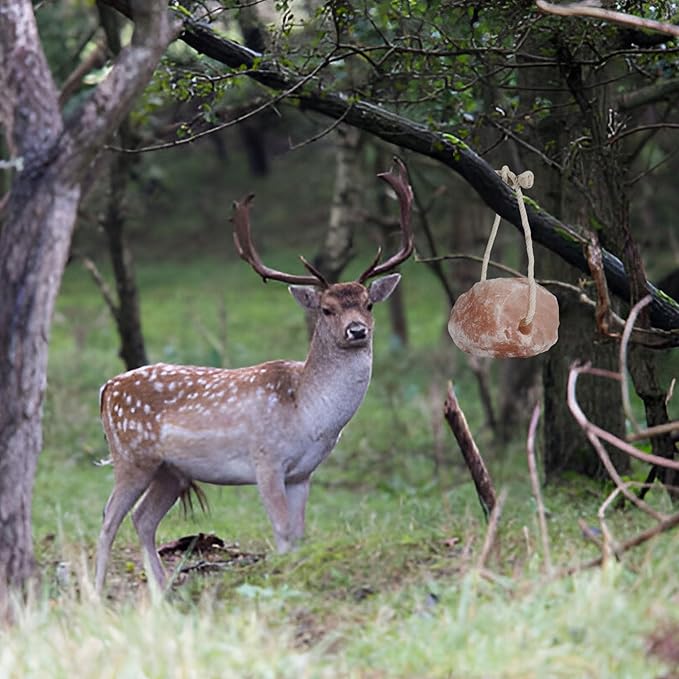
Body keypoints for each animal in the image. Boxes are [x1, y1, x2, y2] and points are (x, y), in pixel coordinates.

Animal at [94, 158, 413, 593]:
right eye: (327, 309)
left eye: (368, 303)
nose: (357, 331)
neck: (307, 413)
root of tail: (107, 387)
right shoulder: (266, 460)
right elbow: (281, 532)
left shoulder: (303, 473)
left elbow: (299, 534)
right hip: (132, 456)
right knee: (109, 518)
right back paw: (96, 593)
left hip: (171, 471)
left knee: (142, 519)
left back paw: (164, 593)